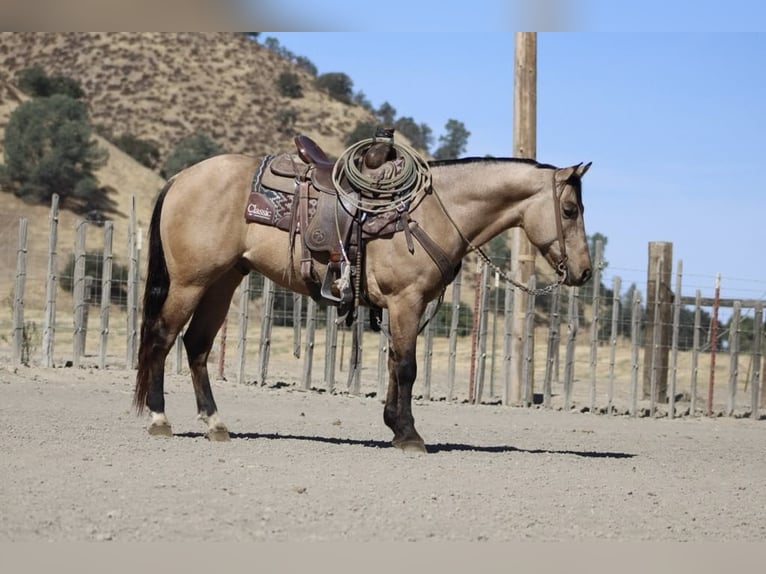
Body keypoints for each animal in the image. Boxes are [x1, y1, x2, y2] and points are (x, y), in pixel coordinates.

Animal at [133, 145, 593, 453]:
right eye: (570, 209)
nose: (585, 271)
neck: (434, 212)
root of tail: (180, 178)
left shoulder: (400, 307)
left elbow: (393, 364)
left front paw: (394, 426)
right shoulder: (406, 301)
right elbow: (406, 367)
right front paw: (409, 435)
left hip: (223, 281)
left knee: (196, 345)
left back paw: (215, 423)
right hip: (190, 281)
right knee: (161, 337)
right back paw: (159, 417)